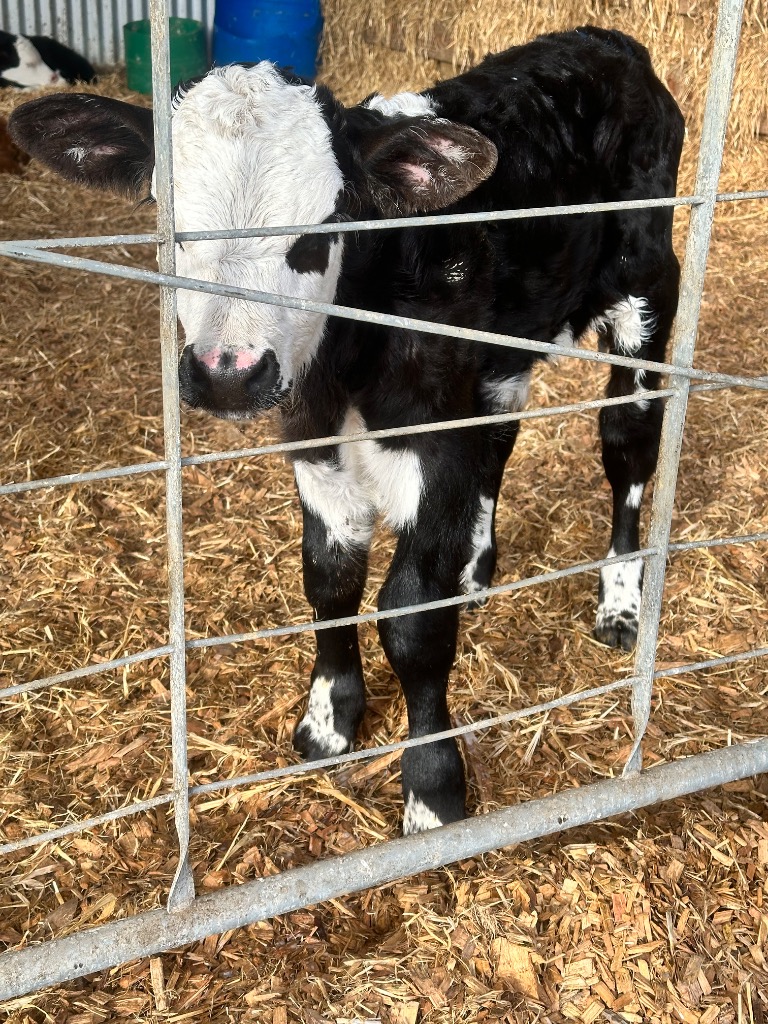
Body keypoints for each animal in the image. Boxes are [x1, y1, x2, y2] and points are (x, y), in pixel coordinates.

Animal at [9, 26, 684, 834]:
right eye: (171, 224)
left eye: (325, 227)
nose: (228, 372)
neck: (351, 357)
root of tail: (607, 41)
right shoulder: (314, 439)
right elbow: (329, 581)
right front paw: (330, 718)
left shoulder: (430, 442)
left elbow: (412, 621)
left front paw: (432, 789)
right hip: (503, 351)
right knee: (499, 438)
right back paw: (476, 568)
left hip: (646, 295)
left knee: (628, 449)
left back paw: (619, 600)